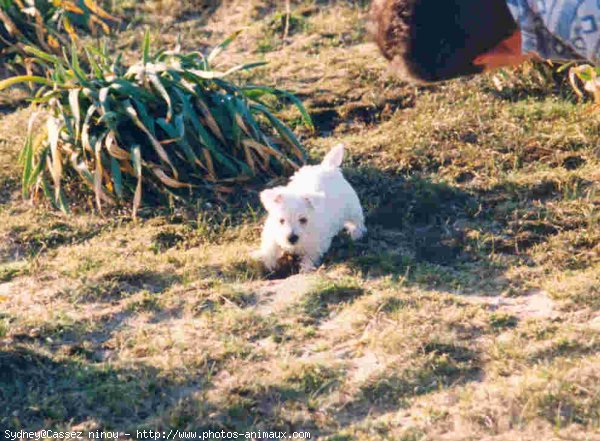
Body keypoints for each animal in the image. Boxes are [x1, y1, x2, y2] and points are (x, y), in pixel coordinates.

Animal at [253, 144, 366, 272]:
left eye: (303, 220)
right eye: (281, 221)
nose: (292, 238)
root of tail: (328, 167)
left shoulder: (315, 245)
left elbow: (309, 258)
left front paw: (305, 270)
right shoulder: (272, 233)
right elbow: (270, 248)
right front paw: (268, 262)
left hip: (352, 207)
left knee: (357, 221)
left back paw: (357, 233)